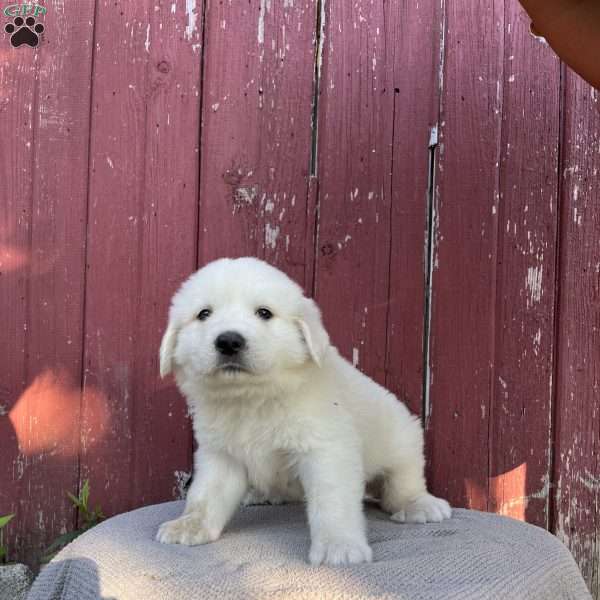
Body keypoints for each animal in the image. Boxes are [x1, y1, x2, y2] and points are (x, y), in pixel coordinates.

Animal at [155, 256, 450, 564]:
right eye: (204, 314)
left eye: (264, 313)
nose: (229, 341)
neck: (253, 398)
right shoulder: (221, 455)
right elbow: (206, 495)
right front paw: (190, 525)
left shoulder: (326, 450)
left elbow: (332, 502)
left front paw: (338, 546)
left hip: (403, 437)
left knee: (403, 480)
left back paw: (419, 504)